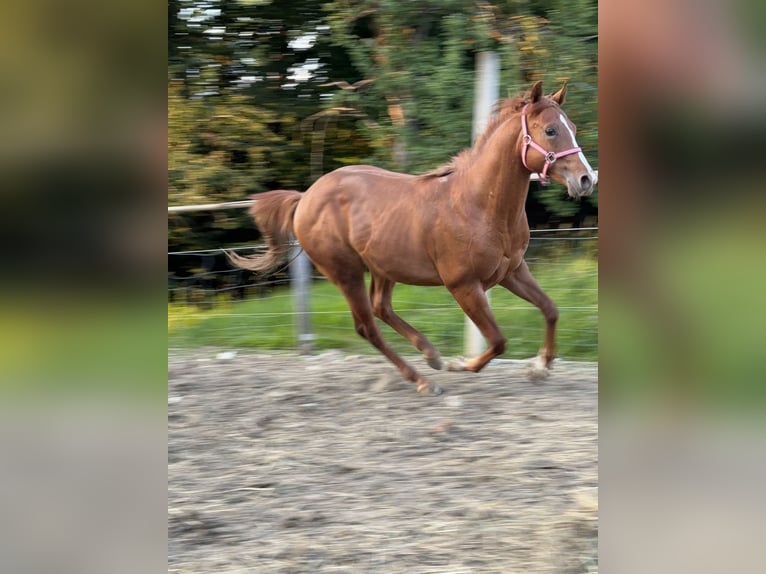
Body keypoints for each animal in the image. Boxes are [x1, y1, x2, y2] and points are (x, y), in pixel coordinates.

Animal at [228, 81, 600, 396]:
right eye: (550, 130)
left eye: (572, 127)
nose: (586, 179)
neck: (481, 205)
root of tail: (305, 198)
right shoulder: (464, 285)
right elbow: (497, 340)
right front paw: (460, 365)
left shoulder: (512, 271)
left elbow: (550, 309)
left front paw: (539, 368)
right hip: (346, 272)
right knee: (367, 326)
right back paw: (424, 380)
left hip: (383, 267)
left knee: (381, 308)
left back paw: (430, 354)